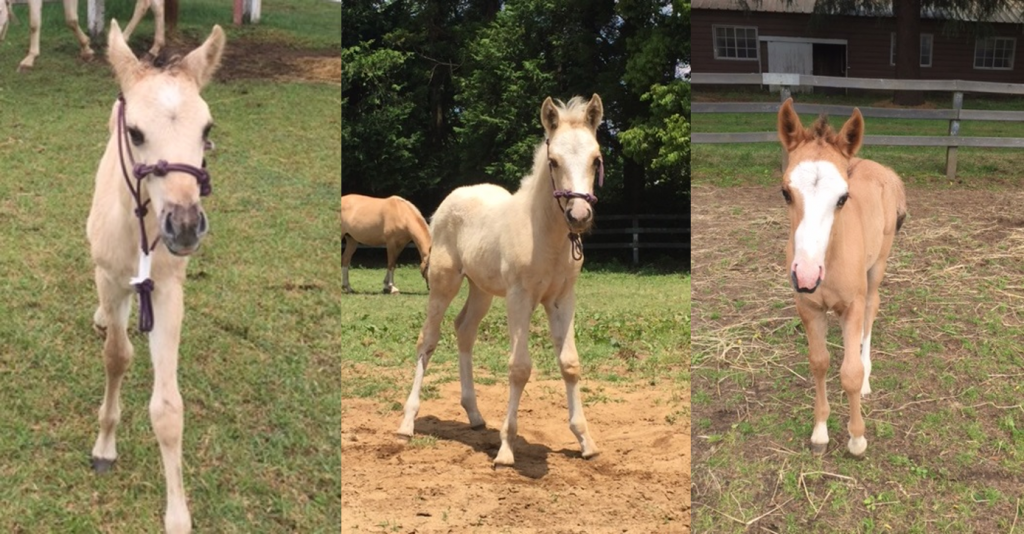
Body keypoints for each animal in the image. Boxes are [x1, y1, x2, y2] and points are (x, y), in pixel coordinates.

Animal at [12, 0, 163, 70]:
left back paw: (124, 40)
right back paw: (154, 50)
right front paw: (28, 60)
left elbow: (71, 19)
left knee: (144, 5)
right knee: (157, 6)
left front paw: (87, 49)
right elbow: (34, 23)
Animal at [87, 18, 224, 528]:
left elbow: (168, 408)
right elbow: (116, 357)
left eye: (207, 129)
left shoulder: (167, 289)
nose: (183, 226)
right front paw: (105, 447)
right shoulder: (110, 276)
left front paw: (178, 516)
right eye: (136, 132)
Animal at [774, 97, 905, 455]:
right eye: (785, 192)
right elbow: (819, 362)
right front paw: (820, 432)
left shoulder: (852, 305)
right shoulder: (808, 307)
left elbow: (850, 373)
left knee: (873, 309)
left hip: (878, 266)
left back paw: (868, 374)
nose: (806, 276)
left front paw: (857, 438)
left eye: (843, 198)